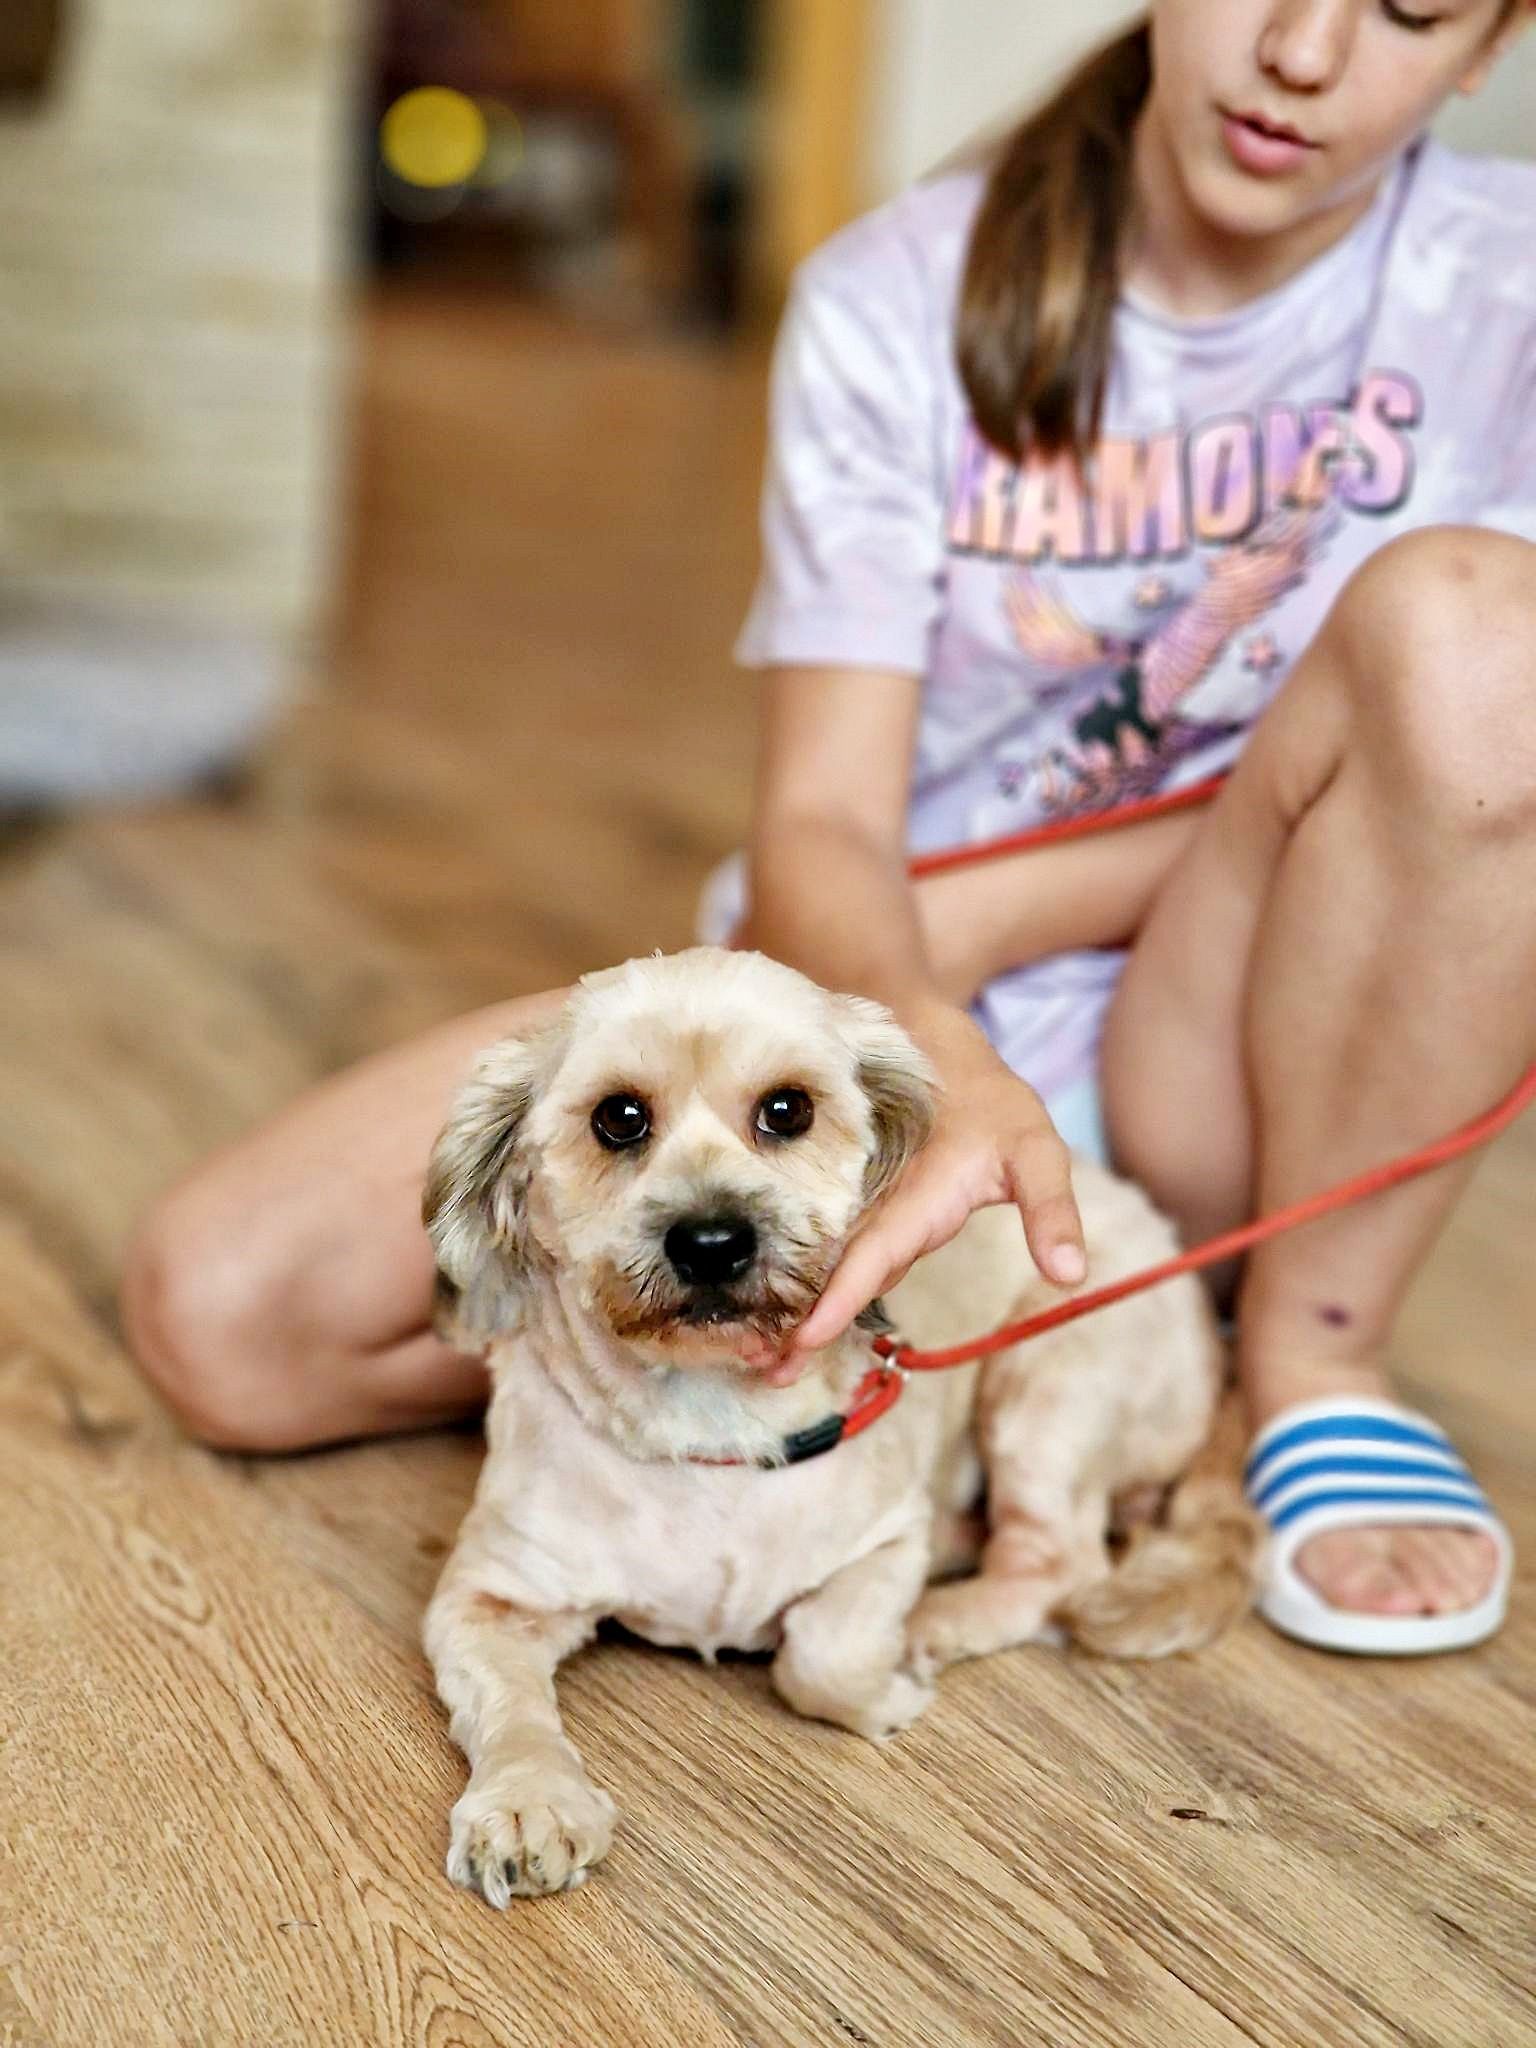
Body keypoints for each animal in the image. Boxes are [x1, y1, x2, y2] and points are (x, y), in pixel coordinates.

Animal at [419, 945, 1259, 1904]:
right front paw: (529, 1801)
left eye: (788, 1110)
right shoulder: (488, 1597)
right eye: (618, 1118)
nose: (713, 1242)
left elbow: (822, 1656)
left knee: (1058, 1563)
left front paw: (889, 1683)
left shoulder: (888, 1541)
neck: (710, 1427)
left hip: (1052, 1376)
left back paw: (937, 1621)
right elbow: (510, 1707)